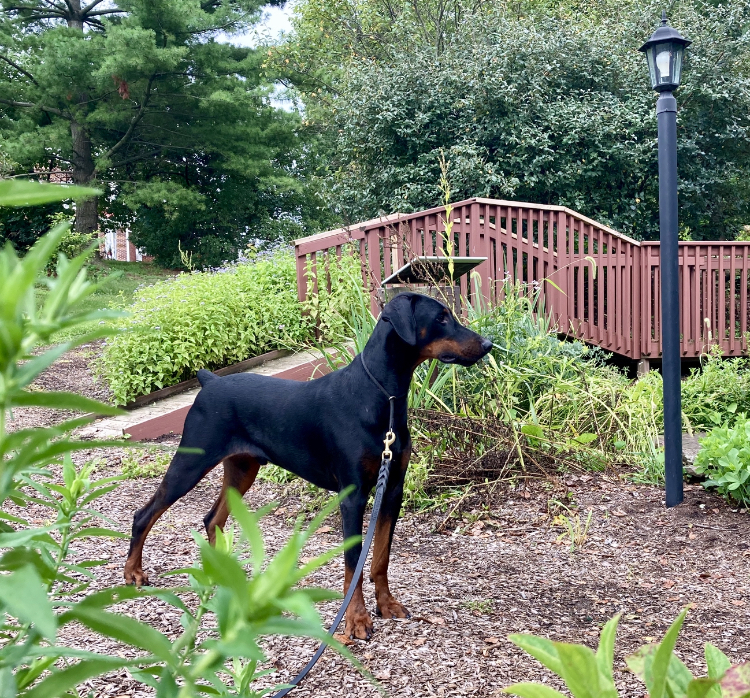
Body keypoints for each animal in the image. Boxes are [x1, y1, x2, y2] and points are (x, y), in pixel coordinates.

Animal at [125, 290, 494, 640]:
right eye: (441, 317)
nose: (488, 344)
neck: (383, 397)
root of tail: (210, 381)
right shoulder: (353, 495)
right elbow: (353, 562)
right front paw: (356, 620)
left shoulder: (392, 489)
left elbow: (380, 557)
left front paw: (386, 604)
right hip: (191, 462)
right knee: (145, 515)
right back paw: (133, 573)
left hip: (243, 469)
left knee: (212, 518)